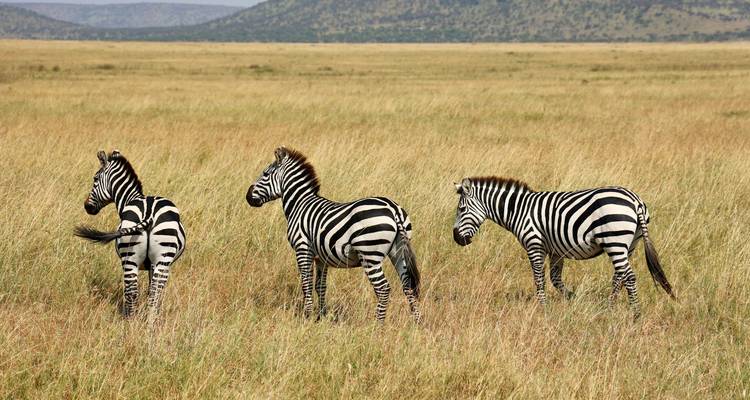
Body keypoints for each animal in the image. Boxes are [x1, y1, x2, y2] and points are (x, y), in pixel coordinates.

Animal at [74, 150, 186, 324]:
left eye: (95, 179)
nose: (87, 206)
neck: (131, 198)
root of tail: (148, 214)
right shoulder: (153, 265)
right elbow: (151, 291)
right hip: (157, 259)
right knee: (149, 294)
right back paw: (145, 325)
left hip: (133, 257)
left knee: (136, 292)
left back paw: (134, 324)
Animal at [246, 147, 421, 323]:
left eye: (265, 174)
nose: (247, 196)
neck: (299, 204)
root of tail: (393, 209)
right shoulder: (321, 258)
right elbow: (320, 286)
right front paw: (321, 316)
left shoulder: (303, 249)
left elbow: (306, 284)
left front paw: (307, 316)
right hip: (398, 252)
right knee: (408, 286)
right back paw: (416, 322)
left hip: (370, 255)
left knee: (383, 289)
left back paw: (378, 325)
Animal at [452, 177, 675, 318]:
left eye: (461, 209)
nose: (456, 239)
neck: (518, 210)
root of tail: (635, 201)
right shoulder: (555, 251)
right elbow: (555, 279)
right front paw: (573, 299)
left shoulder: (534, 244)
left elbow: (539, 278)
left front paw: (543, 308)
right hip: (629, 244)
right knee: (619, 276)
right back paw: (609, 307)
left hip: (614, 240)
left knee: (628, 276)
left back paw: (635, 314)